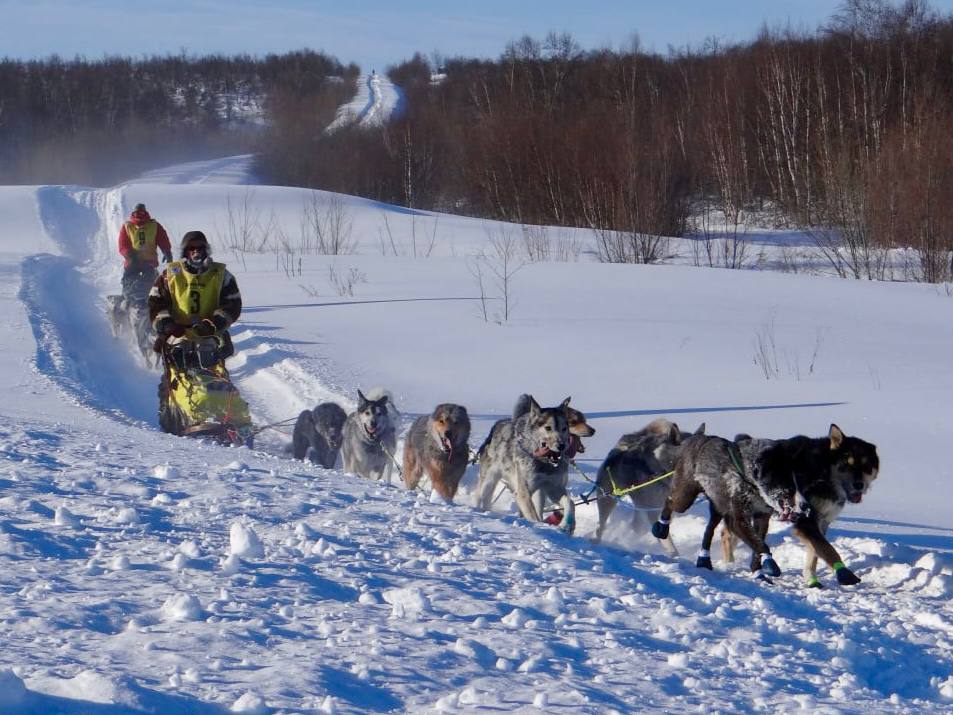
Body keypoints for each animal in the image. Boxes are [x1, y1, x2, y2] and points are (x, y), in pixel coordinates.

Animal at [470, 398, 572, 532]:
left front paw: (566, 524)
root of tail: (497, 426)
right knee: (479, 496)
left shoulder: (555, 488)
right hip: (488, 481)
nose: (561, 445)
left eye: (564, 428)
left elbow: (569, 503)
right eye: (548, 428)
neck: (544, 463)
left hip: (539, 493)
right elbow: (533, 516)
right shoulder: (523, 493)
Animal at [592, 420, 696, 552]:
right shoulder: (653, 511)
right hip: (608, 498)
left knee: (635, 525)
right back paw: (596, 541)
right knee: (601, 525)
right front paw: (673, 553)